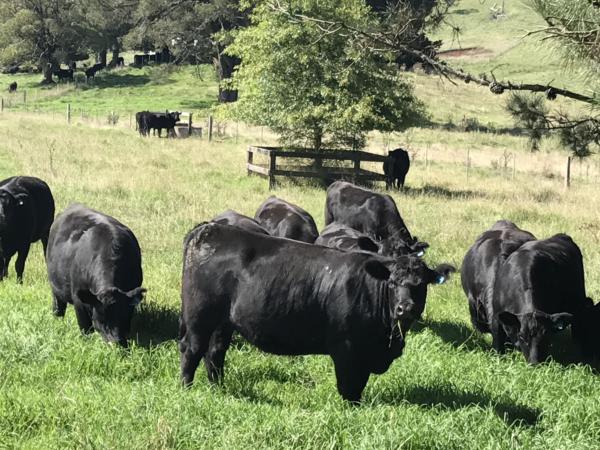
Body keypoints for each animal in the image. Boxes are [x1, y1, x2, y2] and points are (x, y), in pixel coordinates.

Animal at [45, 205, 146, 348]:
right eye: (101, 319)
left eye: (124, 316)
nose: (117, 343)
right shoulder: (78, 299)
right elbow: (85, 328)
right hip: (55, 289)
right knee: (58, 306)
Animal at [178, 223, 454, 402]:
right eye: (393, 282)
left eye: (421, 284)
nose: (405, 308)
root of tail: (207, 230)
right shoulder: (346, 348)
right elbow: (349, 387)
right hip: (199, 316)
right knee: (191, 350)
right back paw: (186, 389)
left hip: (223, 322)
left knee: (215, 353)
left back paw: (218, 388)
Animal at [492, 234, 592, 364]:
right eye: (521, 336)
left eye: (546, 336)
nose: (535, 363)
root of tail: (561, 236)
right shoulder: (496, 315)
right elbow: (497, 342)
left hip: (578, 300)